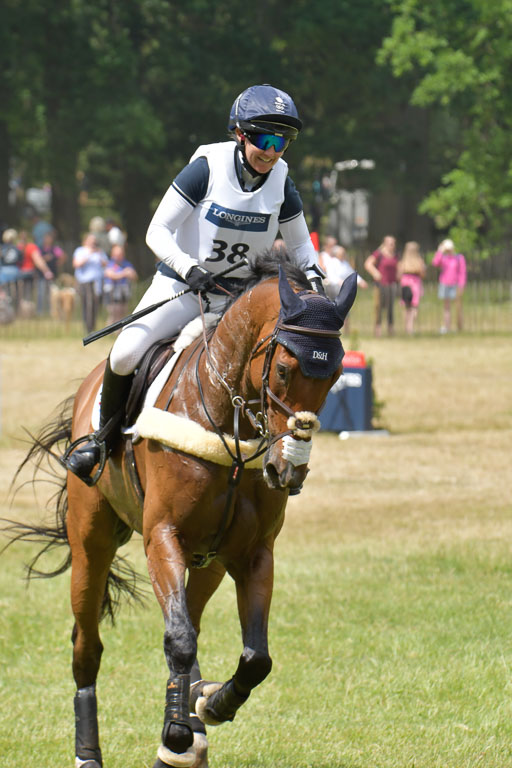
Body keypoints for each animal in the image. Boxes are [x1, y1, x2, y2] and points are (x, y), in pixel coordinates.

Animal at [6, 254, 357, 768]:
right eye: (284, 369)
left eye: (334, 375)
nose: (286, 469)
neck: (229, 420)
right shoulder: (163, 537)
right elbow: (179, 639)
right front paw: (176, 731)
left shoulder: (252, 553)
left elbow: (255, 657)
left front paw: (210, 706)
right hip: (92, 545)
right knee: (88, 644)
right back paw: (92, 750)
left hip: (208, 562)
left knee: (190, 623)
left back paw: (191, 719)